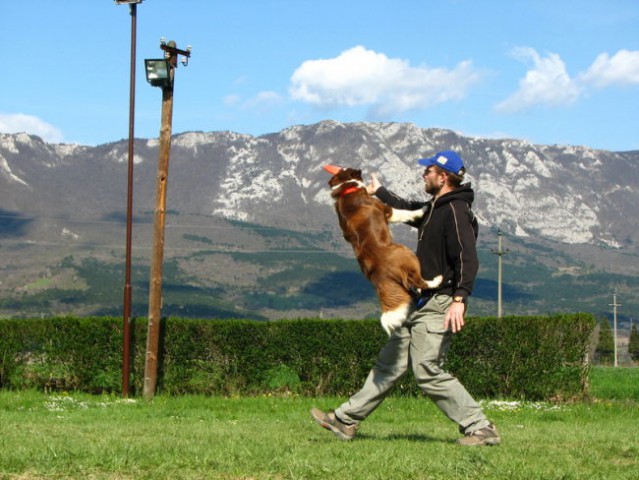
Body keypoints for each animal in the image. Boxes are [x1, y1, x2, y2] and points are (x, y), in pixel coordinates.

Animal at [324, 163, 440, 336]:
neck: (346, 189)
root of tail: (380, 275)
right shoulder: (387, 210)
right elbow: (406, 212)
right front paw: (424, 208)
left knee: (414, 282)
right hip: (408, 252)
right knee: (420, 280)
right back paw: (437, 280)